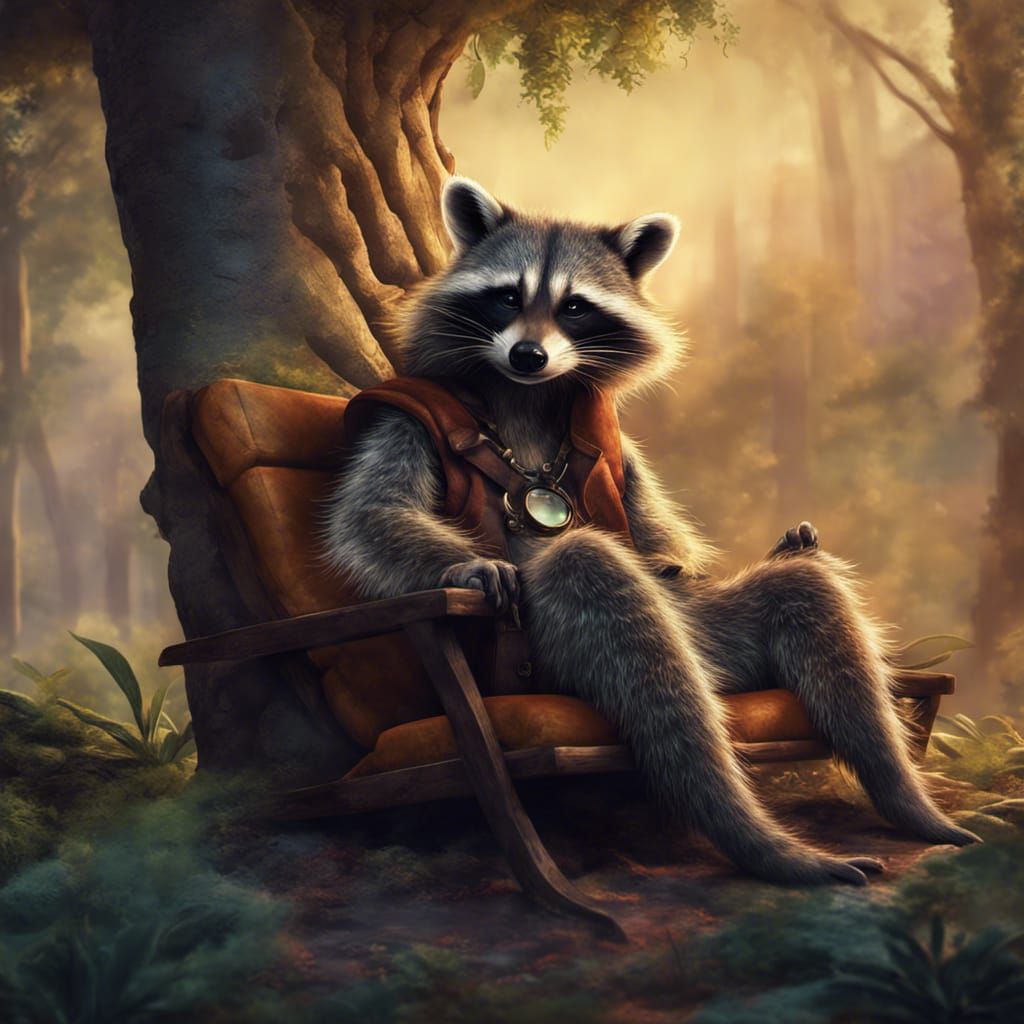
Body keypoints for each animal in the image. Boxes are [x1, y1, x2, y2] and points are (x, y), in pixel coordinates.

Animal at [324, 177, 978, 885]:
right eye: (507, 297)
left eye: (574, 307)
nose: (529, 354)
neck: (525, 391)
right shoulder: (405, 416)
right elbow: (372, 514)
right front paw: (467, 564)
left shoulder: (618, 449)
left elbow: (661, 535)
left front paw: (723, 553)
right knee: (591, 575)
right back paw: (762, 837)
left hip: (714, 633)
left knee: (801, 592)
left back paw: (905, 801)